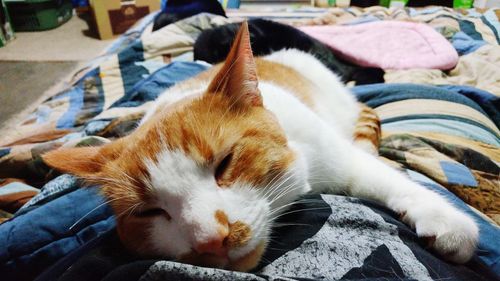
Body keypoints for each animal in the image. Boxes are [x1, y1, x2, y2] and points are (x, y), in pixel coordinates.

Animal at [44, 21, 480, 272]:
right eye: (149, 212)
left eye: (225, 163)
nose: (210, 239)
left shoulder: (335, 155)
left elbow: (380, 177)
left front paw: (448, 222)